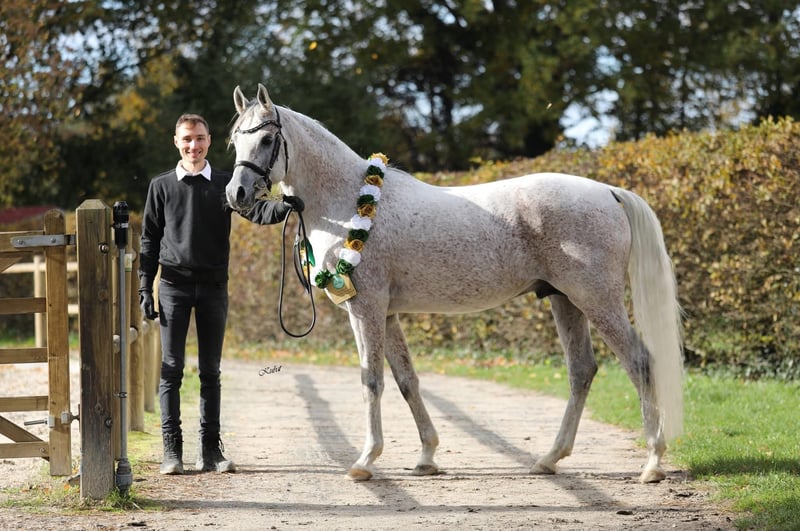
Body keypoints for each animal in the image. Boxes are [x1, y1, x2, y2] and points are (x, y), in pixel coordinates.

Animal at [226, 84, 684, 484]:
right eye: (234, 141)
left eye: (267, 139)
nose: (237, 194)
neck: (347, 200)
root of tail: (608, 191)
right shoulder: (388, 314)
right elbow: (407, 381)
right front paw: (427, 456)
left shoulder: (365, 309)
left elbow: (371, 380)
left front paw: (365, 461)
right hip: (565, 300)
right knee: (582, 370)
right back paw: (549, 459)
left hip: (597, 300)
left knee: (639, 362)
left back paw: (652, 463)